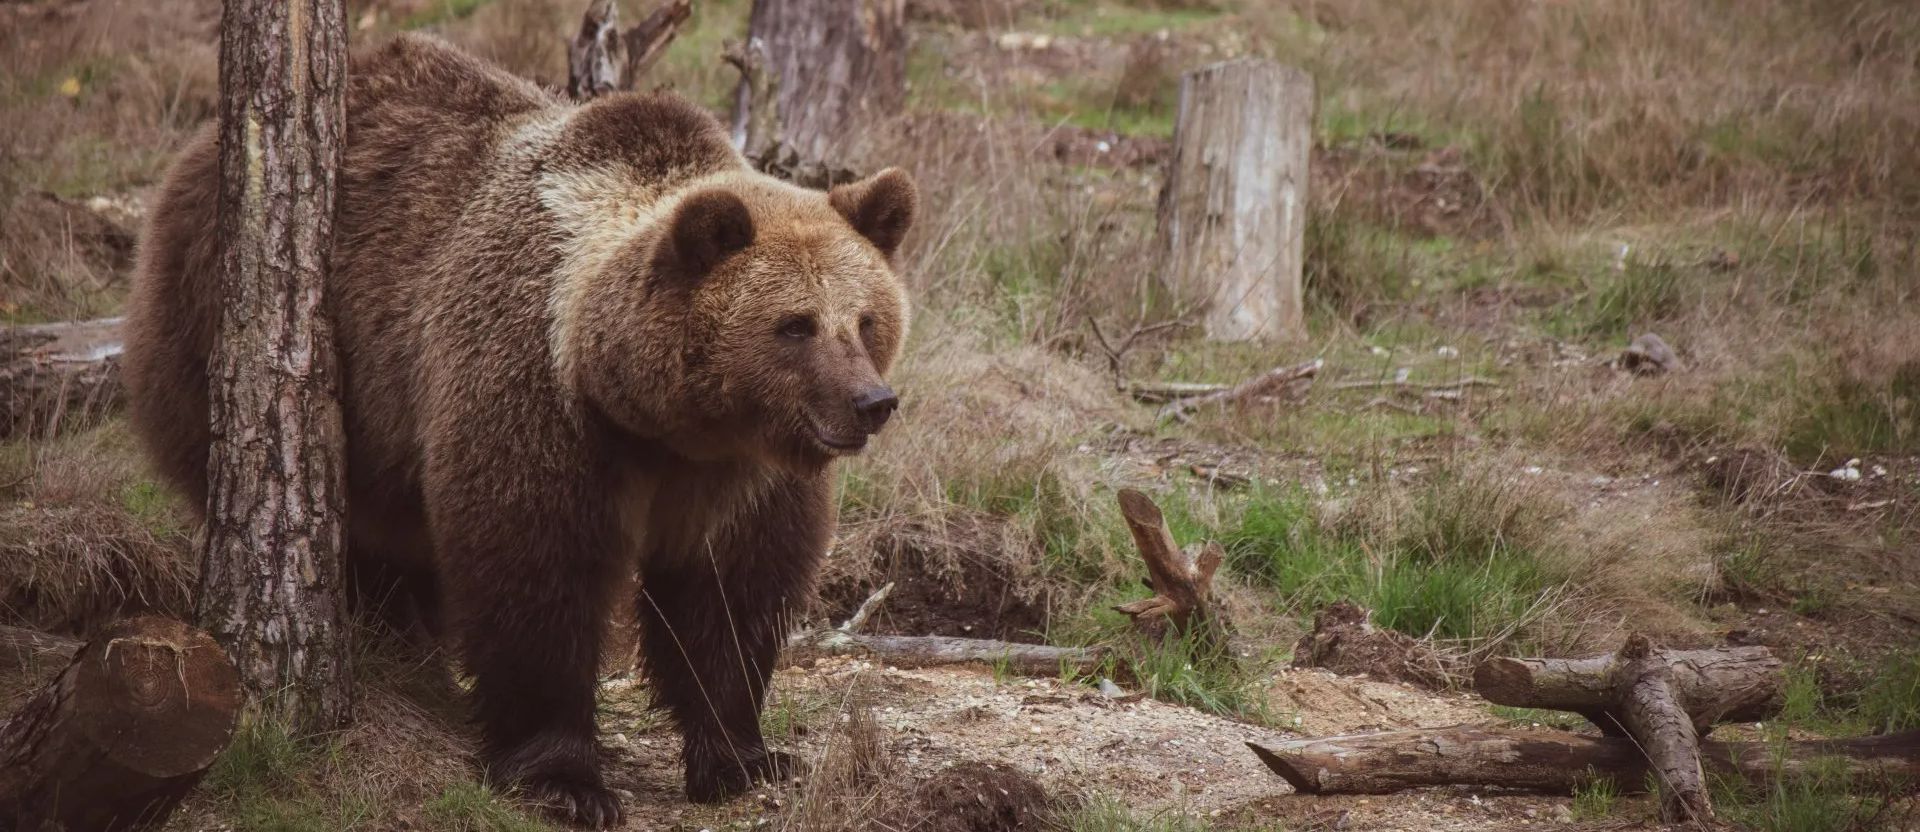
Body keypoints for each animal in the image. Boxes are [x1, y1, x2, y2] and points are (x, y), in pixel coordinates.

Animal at [125, 30, 913, 822]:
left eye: (865, 320)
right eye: (796, 325)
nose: (871, 402)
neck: (657, 417)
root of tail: (195, 153)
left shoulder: (738, 472)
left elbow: (729, 594)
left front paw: (744, 757)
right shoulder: (537, 397)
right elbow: (534, 571)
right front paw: (565, 778)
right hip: (232, 330)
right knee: (364, 529)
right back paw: (395, 637)